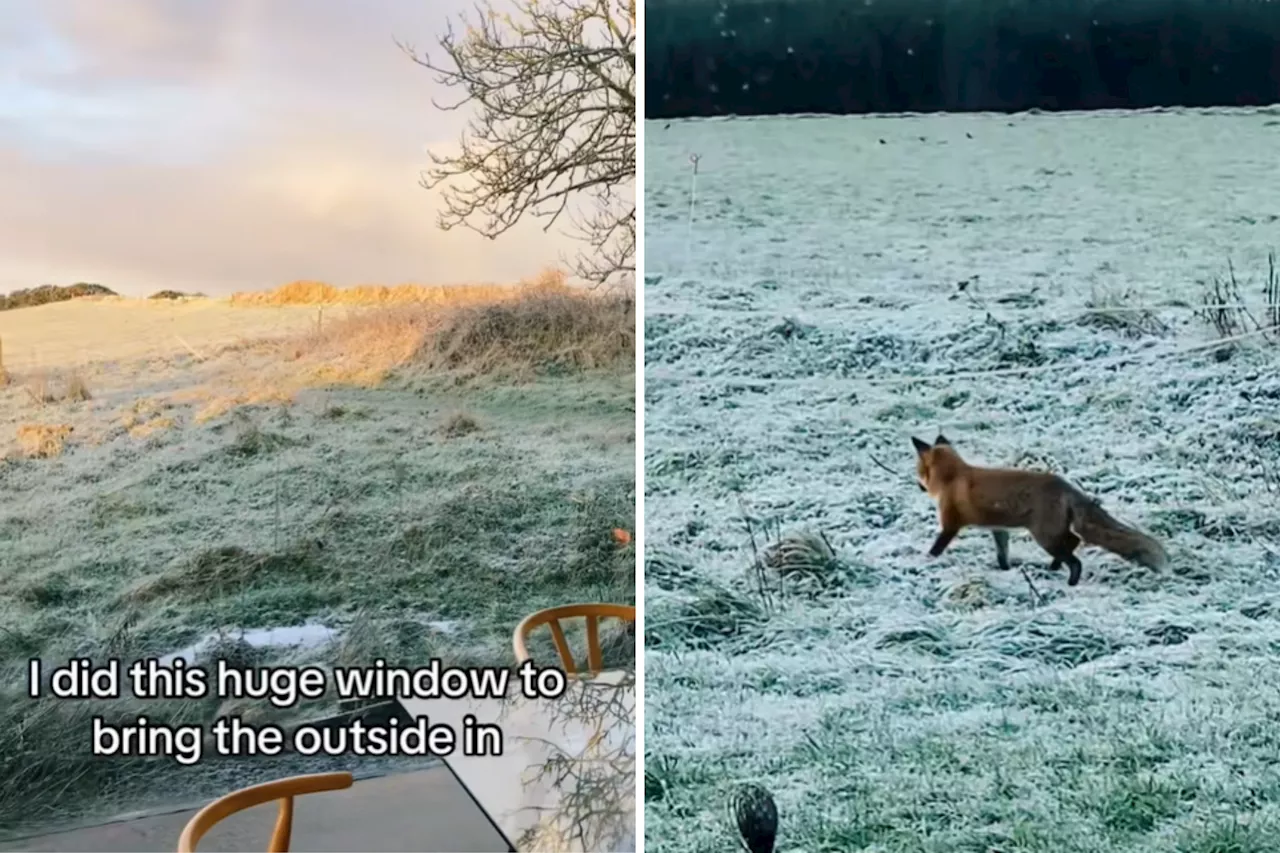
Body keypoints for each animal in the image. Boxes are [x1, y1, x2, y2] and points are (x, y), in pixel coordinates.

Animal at [911, 432, 1172, 584]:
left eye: (918, 471)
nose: (918, 486)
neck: (953, 478)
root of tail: (1065, 485)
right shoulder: (999, 529)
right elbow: (1002, 555)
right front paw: (1006, 571)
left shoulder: (950, 525)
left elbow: (935, 549)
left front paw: (926, 562)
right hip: (1052, 534)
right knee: (1073, 542)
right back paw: (1053, 569)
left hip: (1043, 536)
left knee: (1075, 558)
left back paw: (1070, 582)